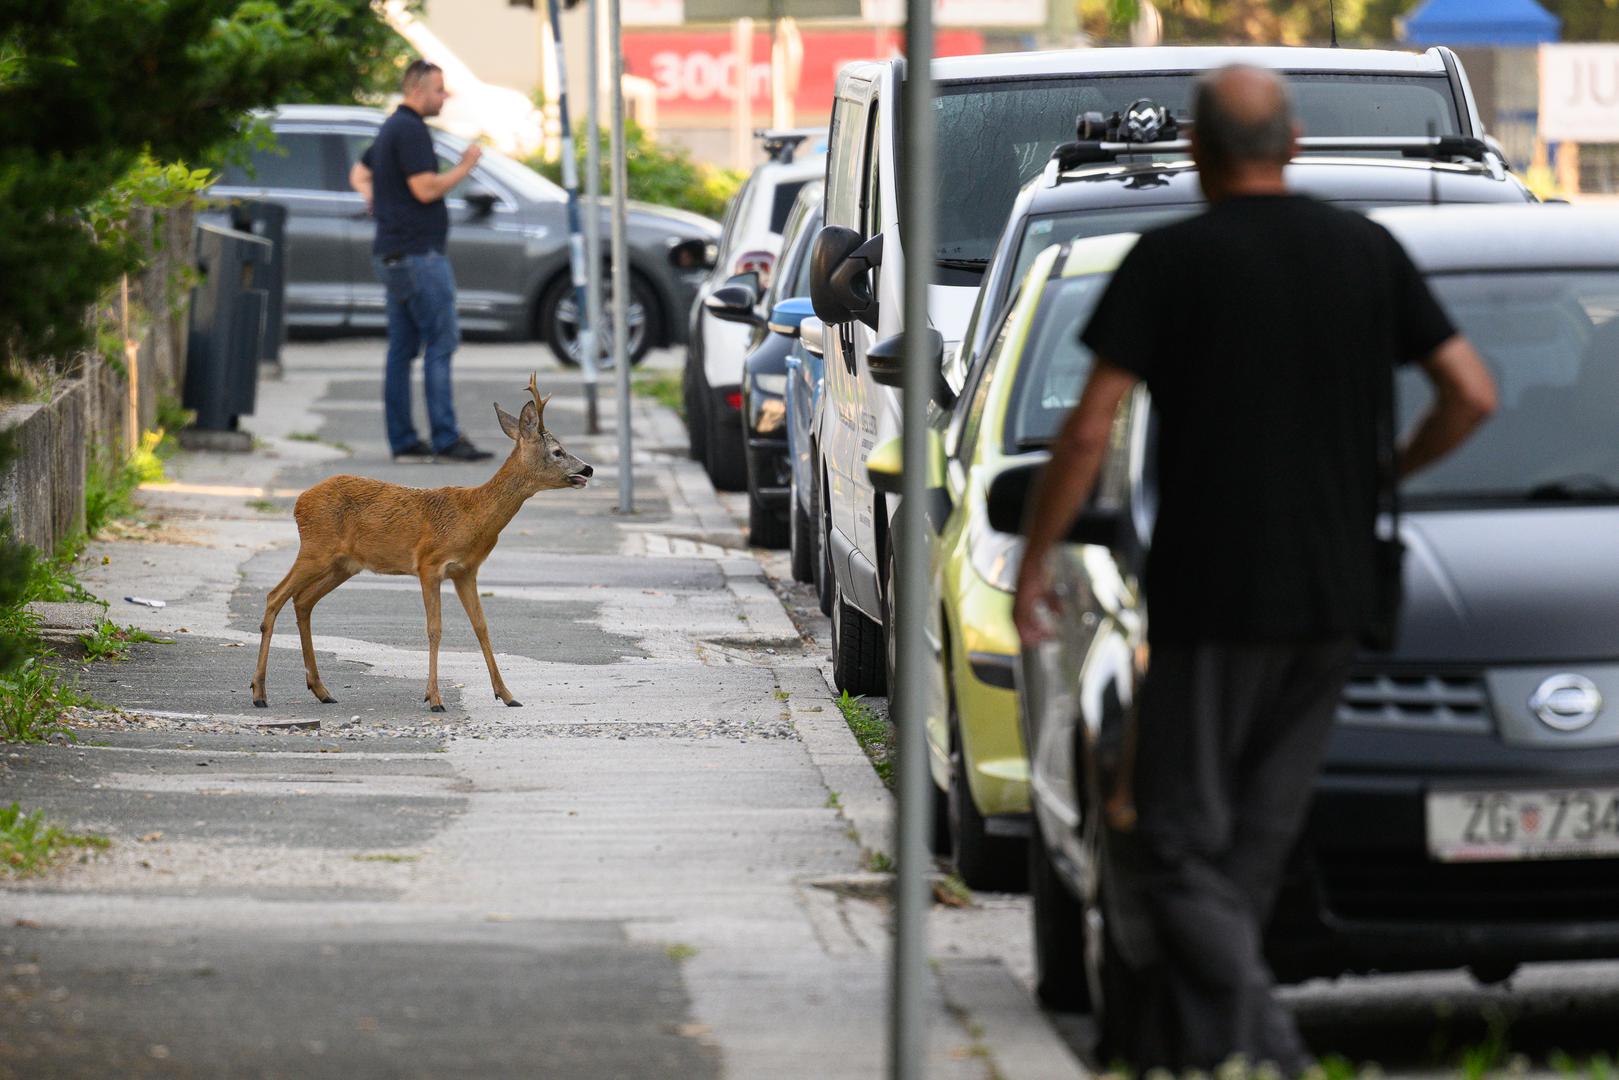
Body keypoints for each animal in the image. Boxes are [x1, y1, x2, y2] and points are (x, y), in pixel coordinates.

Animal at [246, 375, 589, 712]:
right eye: (558, 451)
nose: (588, 468)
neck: (473, 515)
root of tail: (299, 502)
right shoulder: (429, 564)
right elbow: (434, 629)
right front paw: (435, 698)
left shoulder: (466, 571)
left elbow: (481, 626)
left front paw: (506, 694)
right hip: (316, 549)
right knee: (275, 596)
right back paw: (259, 692)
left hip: (343, 564)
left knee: (303, 601)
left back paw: (321, 690)